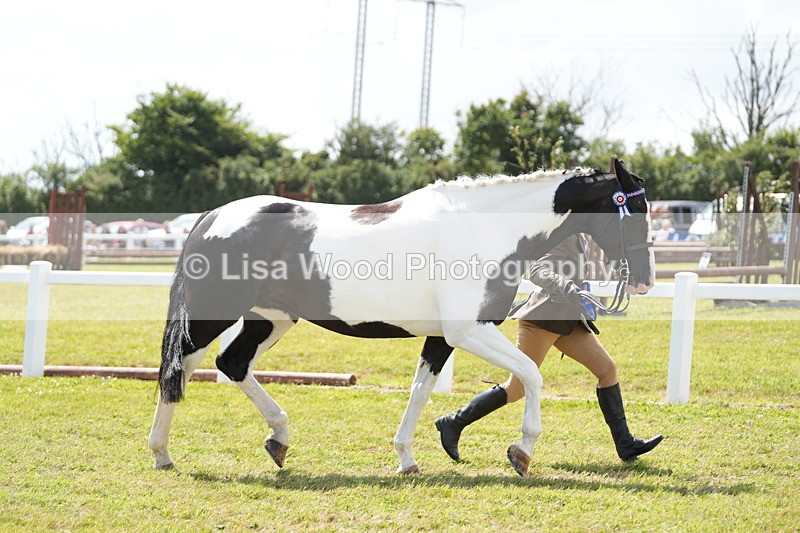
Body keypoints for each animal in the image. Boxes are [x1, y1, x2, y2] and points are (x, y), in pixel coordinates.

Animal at [148, 158, 655, 477]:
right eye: (635, 209)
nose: (646, 279)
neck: (484, 228)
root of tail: (211, 217)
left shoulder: (443, 337)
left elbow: (421, 391)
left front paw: (407, 458)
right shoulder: (469, 331)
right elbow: (531, 374)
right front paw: (522, 451)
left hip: (270, 318)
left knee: (229, 364)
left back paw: (277, 439)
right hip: (214, 317)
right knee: (179, 367)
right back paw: (161, 453)